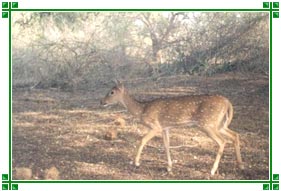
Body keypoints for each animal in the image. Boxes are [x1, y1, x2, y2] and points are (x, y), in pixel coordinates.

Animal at [100, 80, 243, 175]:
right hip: (219, 124)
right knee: (235, 135)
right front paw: (169, 167)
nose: (101, 102)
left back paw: (212, 170)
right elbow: (166, 145)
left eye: (111, 92)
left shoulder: (156, 126)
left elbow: (142, 140)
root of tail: (228, 103)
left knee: (222, 141)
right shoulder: (165, 128)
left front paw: (136, 162)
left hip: (207, 123)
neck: (142, 110)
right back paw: (240, 165)